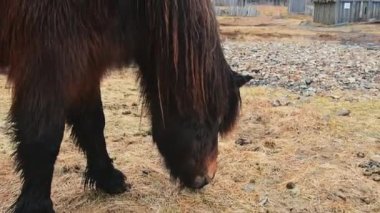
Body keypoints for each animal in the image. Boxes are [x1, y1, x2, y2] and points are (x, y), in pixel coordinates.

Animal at [0, 0, 252, 212]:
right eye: (208, 120)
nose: (206, 179)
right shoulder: (48, 66)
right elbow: (44, 139)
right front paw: (36, 205)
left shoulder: (86, 64)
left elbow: (93, 124)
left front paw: (108, 179)